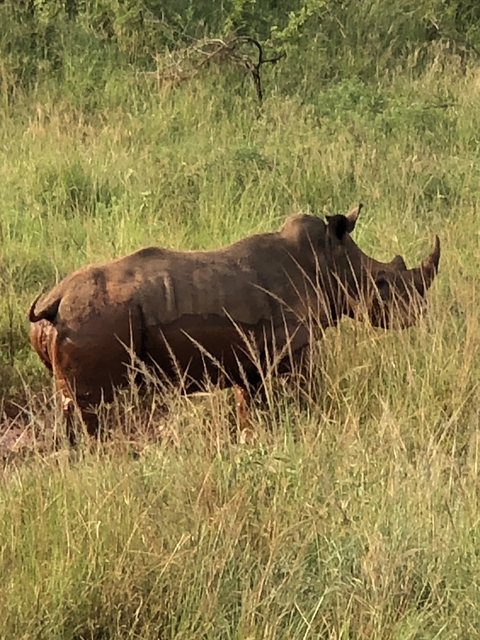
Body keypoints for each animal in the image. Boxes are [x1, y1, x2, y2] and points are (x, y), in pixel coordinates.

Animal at [29, 204, 440, 442]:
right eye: (383, 284)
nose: (419, 313)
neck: (328, 260)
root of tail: (54, 301)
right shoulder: (297, 351)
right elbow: (307, 396)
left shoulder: (249, 362)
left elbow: (248, 413)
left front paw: (250, 445)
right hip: (94, 321)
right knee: (92, 408)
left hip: (79, 321)